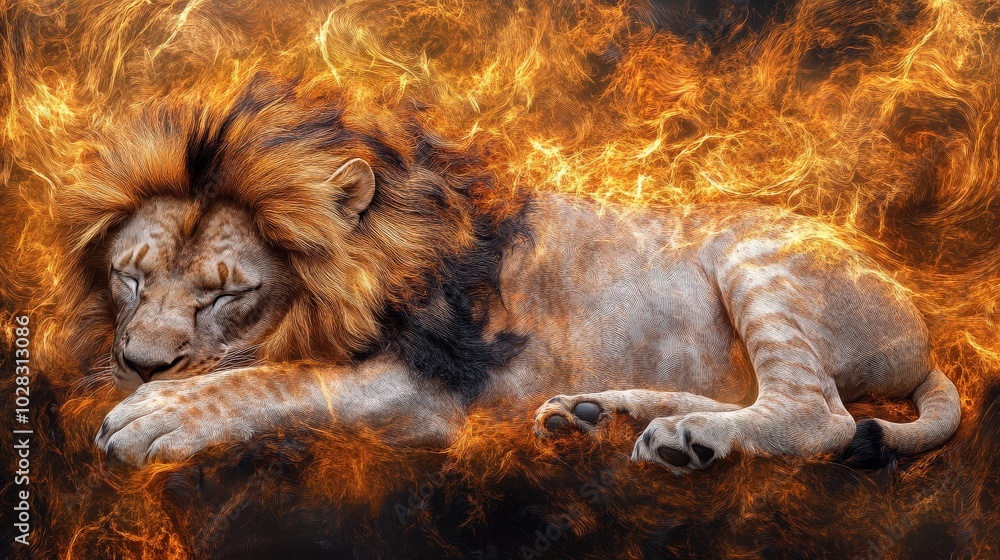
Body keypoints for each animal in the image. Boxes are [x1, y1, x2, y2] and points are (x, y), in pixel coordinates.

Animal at [60, 76, 960, 472]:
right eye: (129, 278)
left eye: (226, 293)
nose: (136, 364)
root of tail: (921, 324)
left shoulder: (436, 385)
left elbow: (283, 379)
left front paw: (159, 412)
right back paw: (601, 415)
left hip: (758, 261)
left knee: (821, 416)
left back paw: (684, 441)